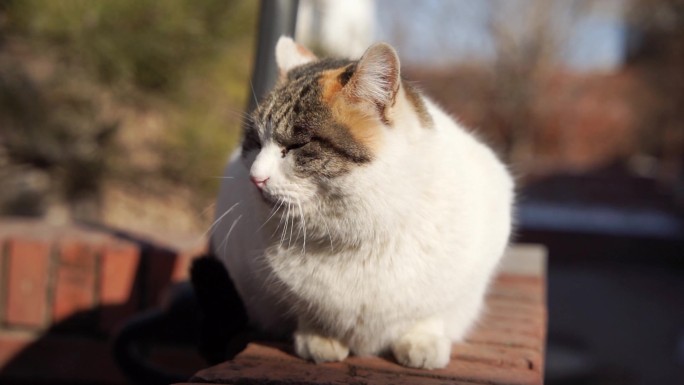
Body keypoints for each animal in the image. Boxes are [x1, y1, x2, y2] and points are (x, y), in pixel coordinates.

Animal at [214, 36, 512, 368]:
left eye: (297, 145)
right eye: (254, 142)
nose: (255, 177)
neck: (357, 235)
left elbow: (431, 312)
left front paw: (422, 340)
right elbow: (307, 310)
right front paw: (319, 337)